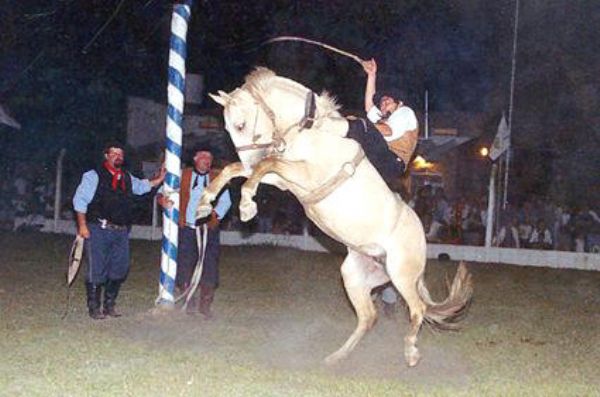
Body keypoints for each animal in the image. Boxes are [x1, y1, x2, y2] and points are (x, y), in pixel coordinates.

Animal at [199, 67, 472, 366]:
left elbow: (265, 164)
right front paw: (205, 203)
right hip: (355, 275)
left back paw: (410, 352)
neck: (313, 132)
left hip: (402, 275)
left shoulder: (303, 173)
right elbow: (238, 169)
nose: (249, 159)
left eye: (240, 125)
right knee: (369, 317)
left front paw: (247, 205)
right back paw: (336, 357)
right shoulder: (285, 180)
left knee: (417, 309)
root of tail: (421, 238)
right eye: (228, 128)